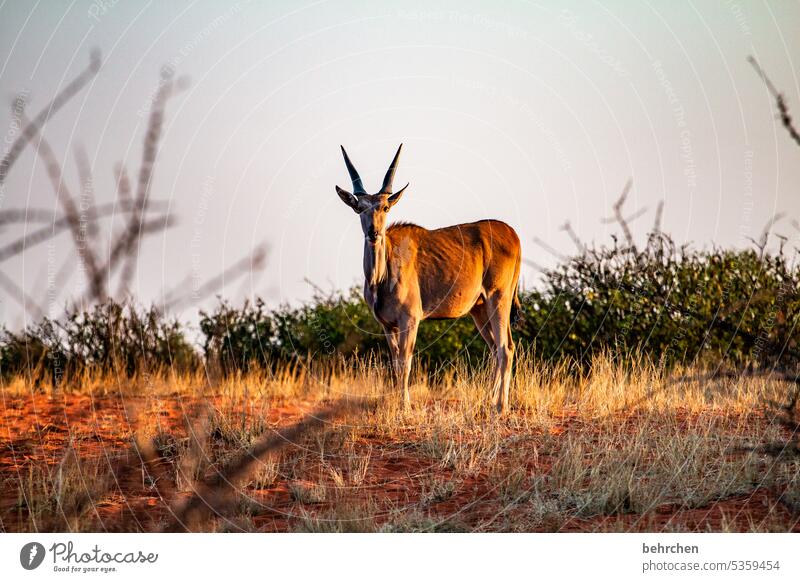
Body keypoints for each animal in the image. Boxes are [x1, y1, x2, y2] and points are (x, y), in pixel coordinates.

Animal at [334, 144, 520, 412]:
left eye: (385, 207)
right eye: (360, 208)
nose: (373, 232)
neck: (381, 276)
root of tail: (513, 235)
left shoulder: (410, 320)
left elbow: (405, 363)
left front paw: (405, 406)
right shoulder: (387, 326)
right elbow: (395, 364)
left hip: (499, 299)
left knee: (505, 348)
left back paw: (500, 407)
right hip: (480, 309)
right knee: (497, 348)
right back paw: (489, 401)